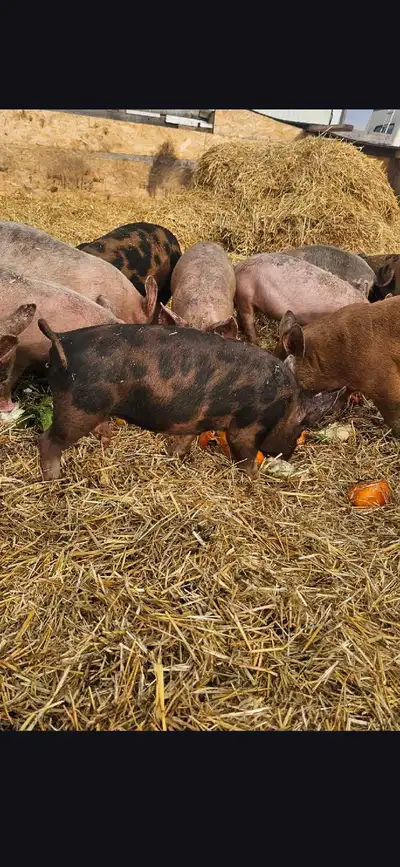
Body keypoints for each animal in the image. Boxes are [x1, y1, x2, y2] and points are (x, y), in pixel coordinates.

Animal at [36, 319, 343, 481]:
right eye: (302, 426)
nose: (287, 455)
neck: (284, 404)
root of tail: (62, 341)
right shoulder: (246, 425)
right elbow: (244, 454)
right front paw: (253, 481)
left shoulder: (195, 421)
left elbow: (184, 441)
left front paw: (174, 458)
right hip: (78, 408)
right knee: (47, 440)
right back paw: (54, 479)